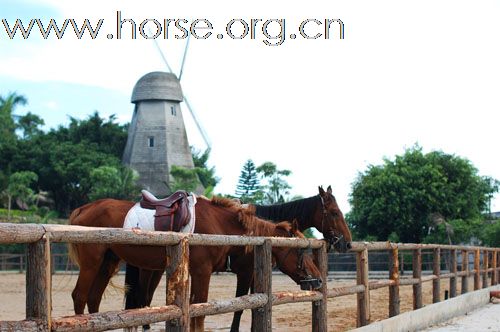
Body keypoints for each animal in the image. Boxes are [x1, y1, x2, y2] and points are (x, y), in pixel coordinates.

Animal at [69, 193, 320, 330]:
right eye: (301, 251)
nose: (317, 279)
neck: (222, 227)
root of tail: (83, 208)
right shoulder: (202, 272)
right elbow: (200, 312)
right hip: (92, 263)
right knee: (80, 296)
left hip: (108, 263)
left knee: (93, 299)